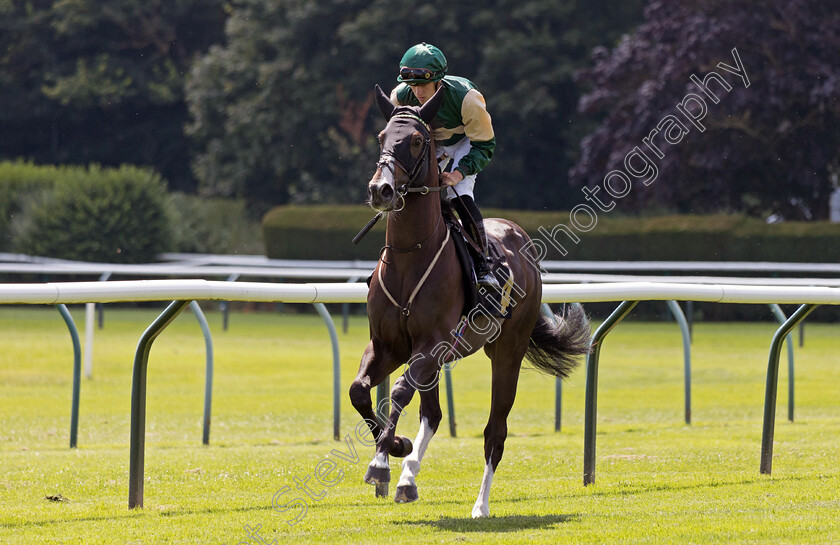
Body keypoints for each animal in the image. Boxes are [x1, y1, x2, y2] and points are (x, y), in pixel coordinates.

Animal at [348, 83, 592, 516]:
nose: (381, 189)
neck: (411, 255)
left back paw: (480, 505)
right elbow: (361, 390)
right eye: (381, 137)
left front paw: (381, 461)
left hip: (507, 352)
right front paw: (396, 449)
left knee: (495, 431)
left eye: (417, 140)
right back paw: (408, 478)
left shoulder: (431, 345)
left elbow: (399, 391)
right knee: (433, 414)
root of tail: (519, 238)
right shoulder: (388, 345)